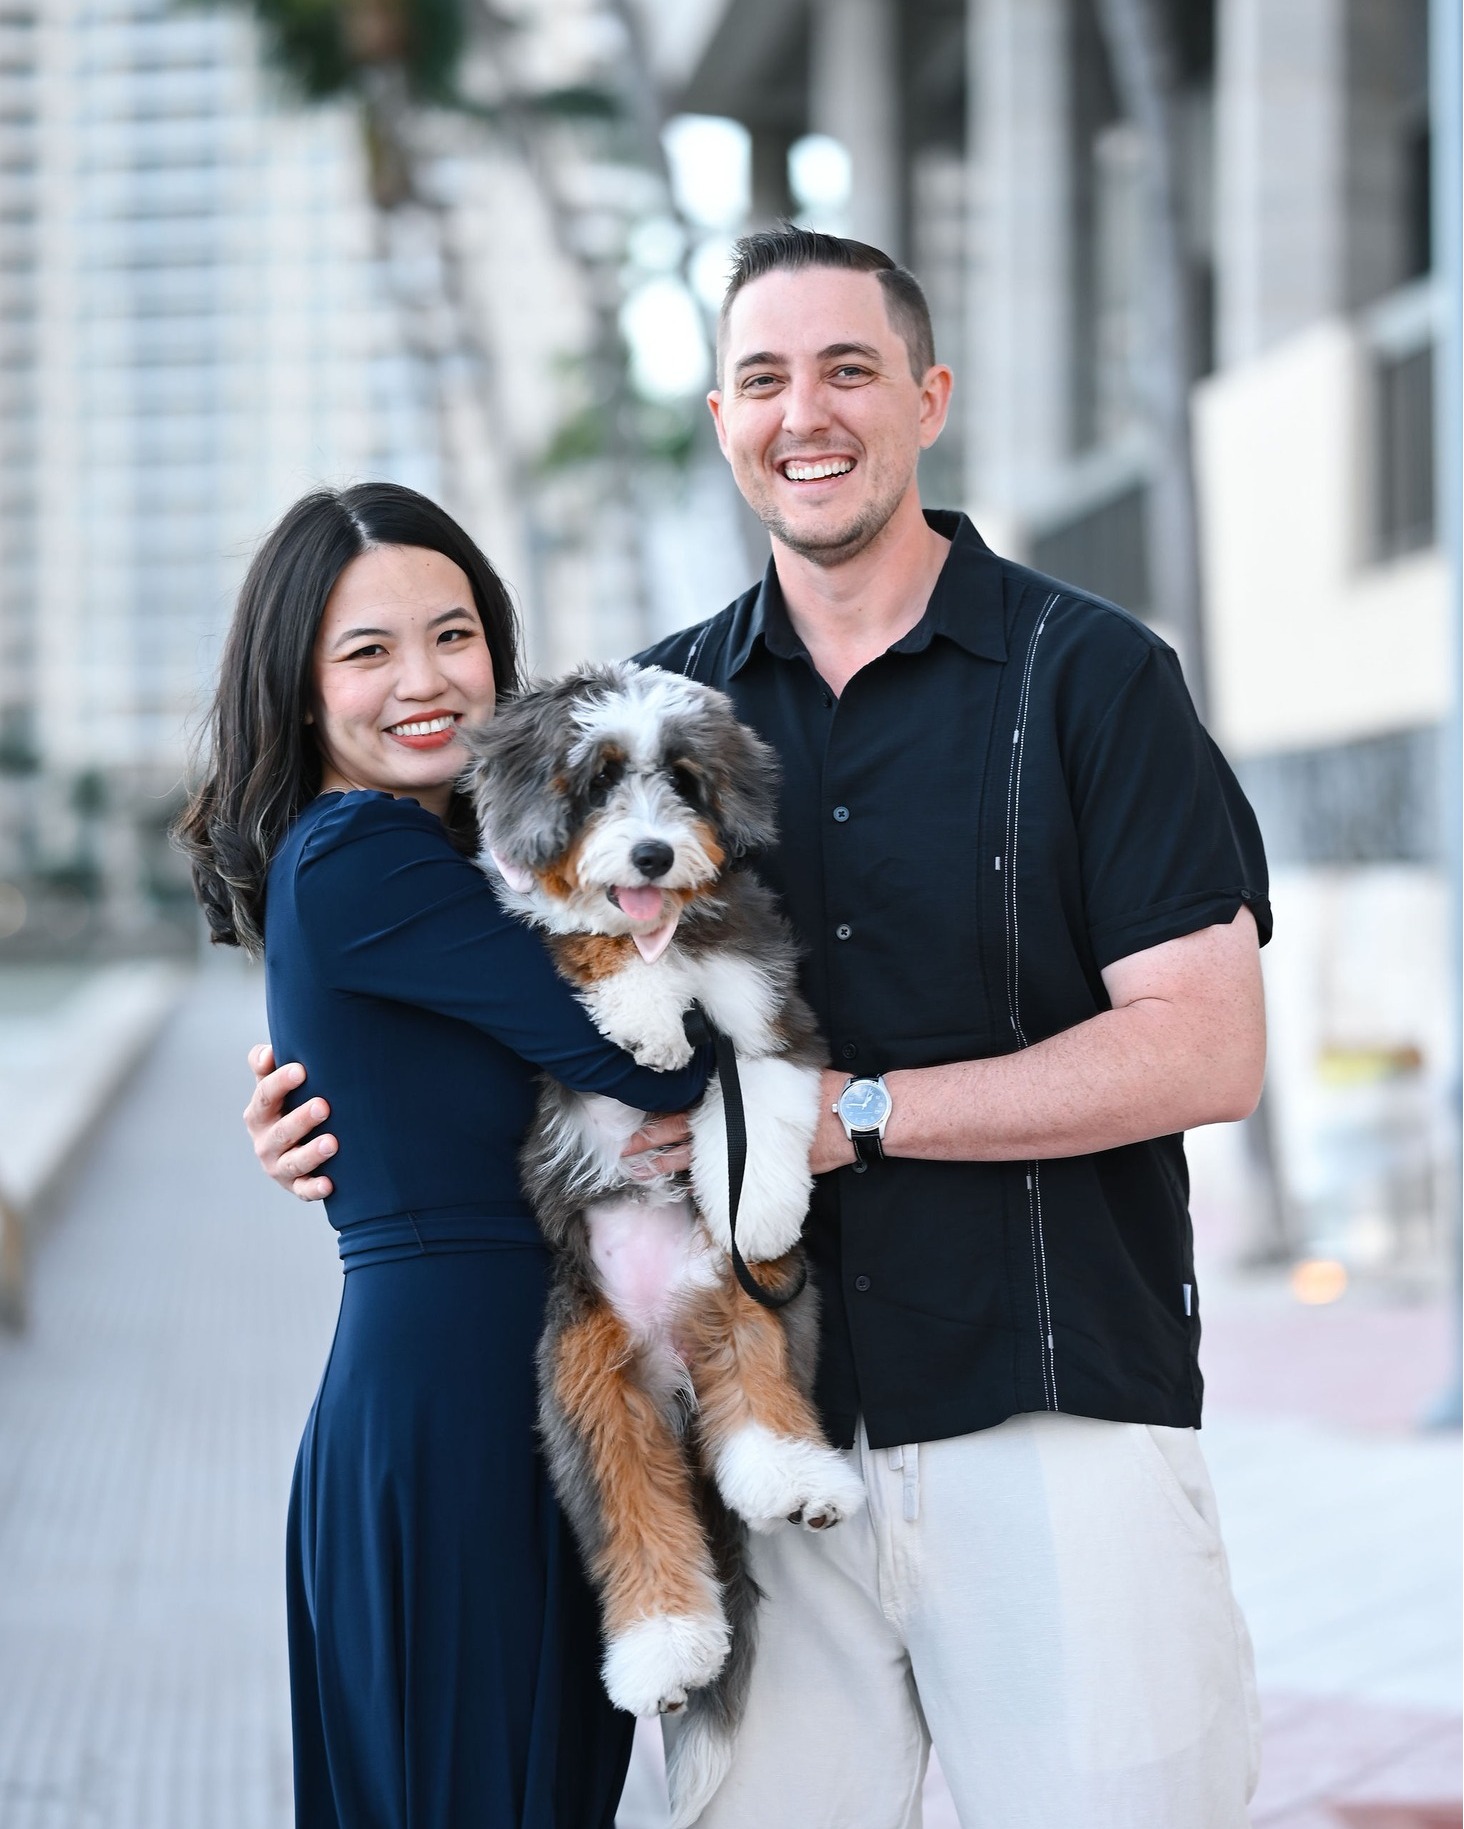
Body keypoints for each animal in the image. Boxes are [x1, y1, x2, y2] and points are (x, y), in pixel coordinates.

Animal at [462, 665, 863, 1821]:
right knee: (638, 1514)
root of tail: (670, 1356)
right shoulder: (535, 933)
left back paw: (794, 1480)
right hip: (587, 1384)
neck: (674, 937)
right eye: (598, 782)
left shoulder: (769, 1010)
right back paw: (664, 1653)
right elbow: (577, 937)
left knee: (758, 1404)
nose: (649, 856)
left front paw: (760, 1197)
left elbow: (764, 1093)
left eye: (682, 782)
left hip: (760, 1304)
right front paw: (641, 1013)